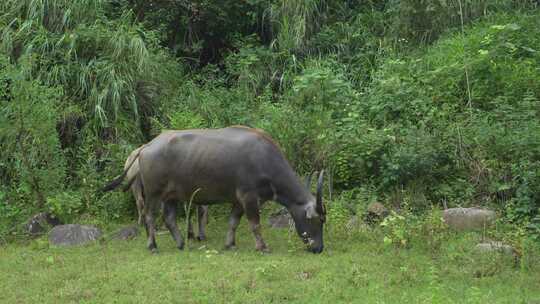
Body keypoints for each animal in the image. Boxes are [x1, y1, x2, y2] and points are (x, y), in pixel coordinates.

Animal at [104, 124, 326, 253]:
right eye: (318, 220)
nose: (319, 248)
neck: (265, 160)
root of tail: (146, 146)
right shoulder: (249, 197)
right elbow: (255, 224)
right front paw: (262, 247)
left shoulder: (238, 200)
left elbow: (233, 222)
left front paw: (230, 244)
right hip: (153, 193)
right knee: (149, 216)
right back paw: (152, 245)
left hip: (171, 196)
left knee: (169, 218)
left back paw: (181, 243)